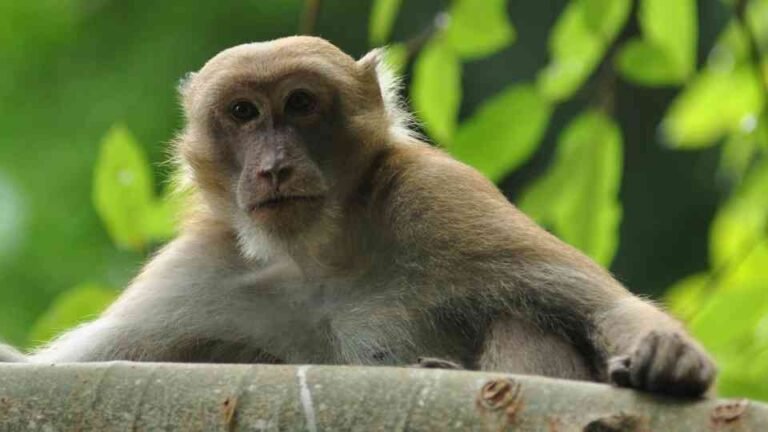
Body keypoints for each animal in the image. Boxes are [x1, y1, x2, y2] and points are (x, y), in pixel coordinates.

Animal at [0, 36, 715, 397]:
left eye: (299, 103)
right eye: (243, 113)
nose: (274, 166)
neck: (318, 254)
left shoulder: (441, 199)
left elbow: (599, 304)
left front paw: (669, 353)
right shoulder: (203, 268)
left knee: (525, 315)